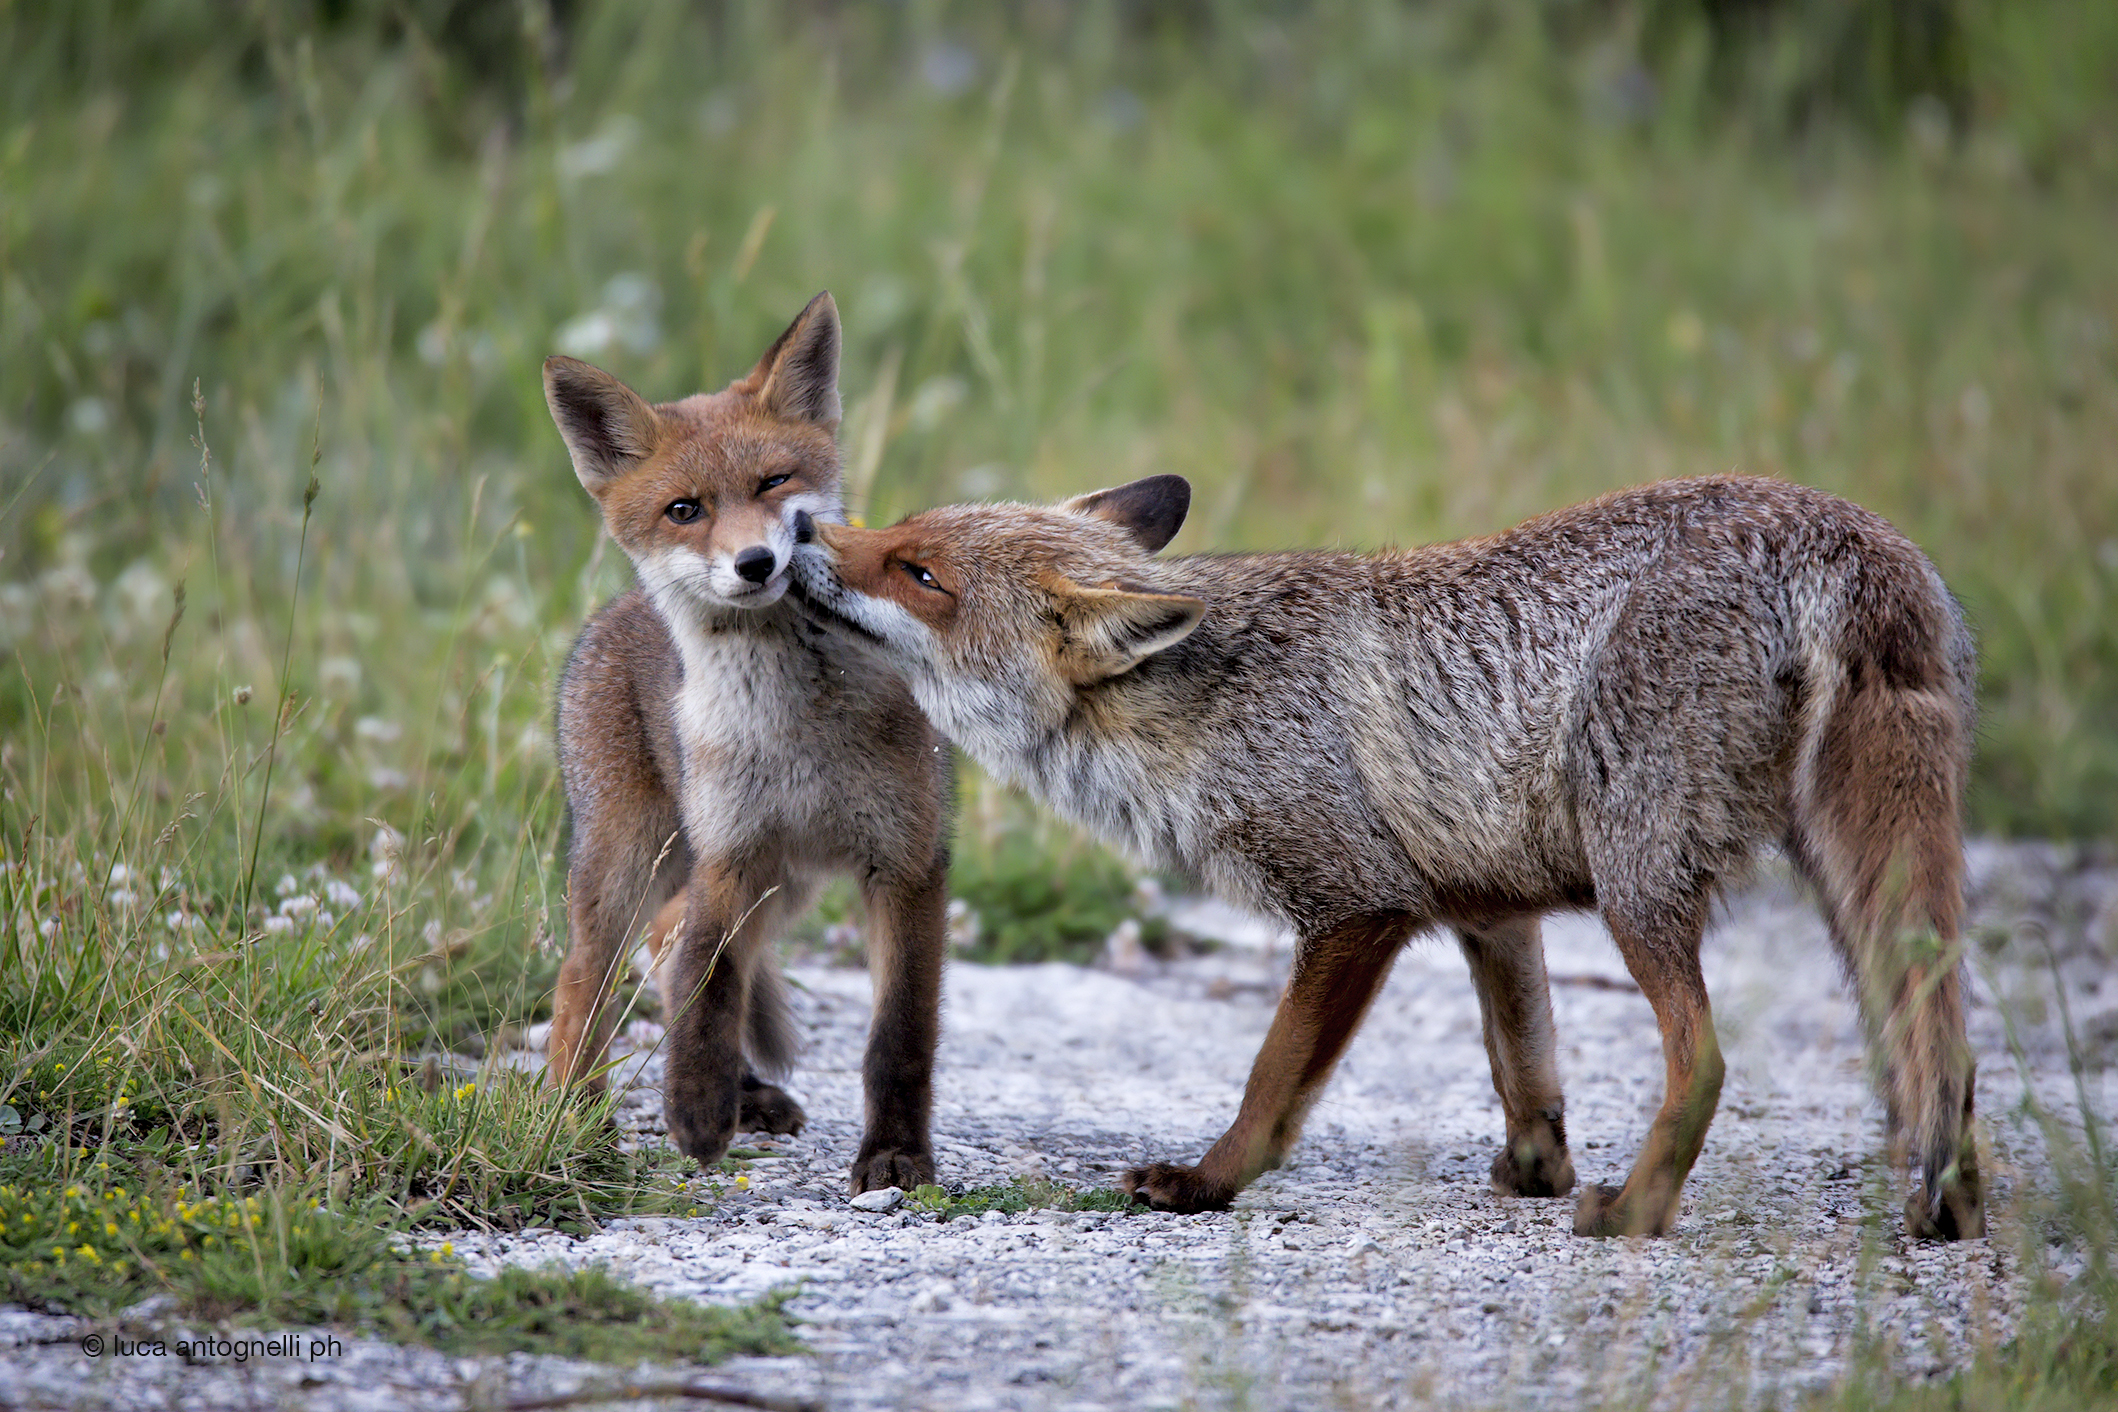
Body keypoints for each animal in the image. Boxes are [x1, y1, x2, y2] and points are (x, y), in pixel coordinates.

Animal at [543, 292, 951, 1194]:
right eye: (684, 510)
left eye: (774, 482)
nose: (757, 562)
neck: (802, 733)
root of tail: (614, 611)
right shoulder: (730, 855)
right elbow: (708, 983)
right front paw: (697, 1111)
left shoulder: (905, 863)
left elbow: (897, 1038)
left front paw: (895, 1156)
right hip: (633, 859)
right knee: (584, 979)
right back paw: (575, 1121)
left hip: (781, 885)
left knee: (664, 940)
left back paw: (747, 1090)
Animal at [784, 472, 1985, 1239]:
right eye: (895, 533)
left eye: (920, 572)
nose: (796, 533)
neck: (1205, 709)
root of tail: (1849, 535)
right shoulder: (1488, 904)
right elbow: (1524, 1063)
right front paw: (1534, 1170)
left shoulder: (1357, 906)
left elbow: (1271, 1082)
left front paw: (1207, 1182)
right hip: (1854, 890)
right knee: (1949, 1059)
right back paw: (1954, 1204)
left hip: (1640, 885)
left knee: (1709, 1061)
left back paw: (1638, 1214)